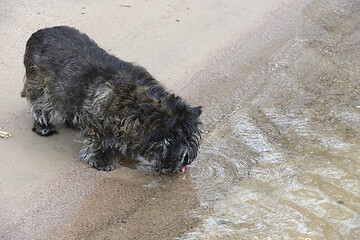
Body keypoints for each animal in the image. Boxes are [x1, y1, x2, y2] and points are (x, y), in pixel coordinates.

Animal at [22, 25, 202, 172]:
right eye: (178, 139)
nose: (188, 160)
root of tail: (38, 33)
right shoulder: (97, 123)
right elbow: (97, 143)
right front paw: (99, 161)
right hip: (40, 87)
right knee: (40, 107)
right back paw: (44, 127)